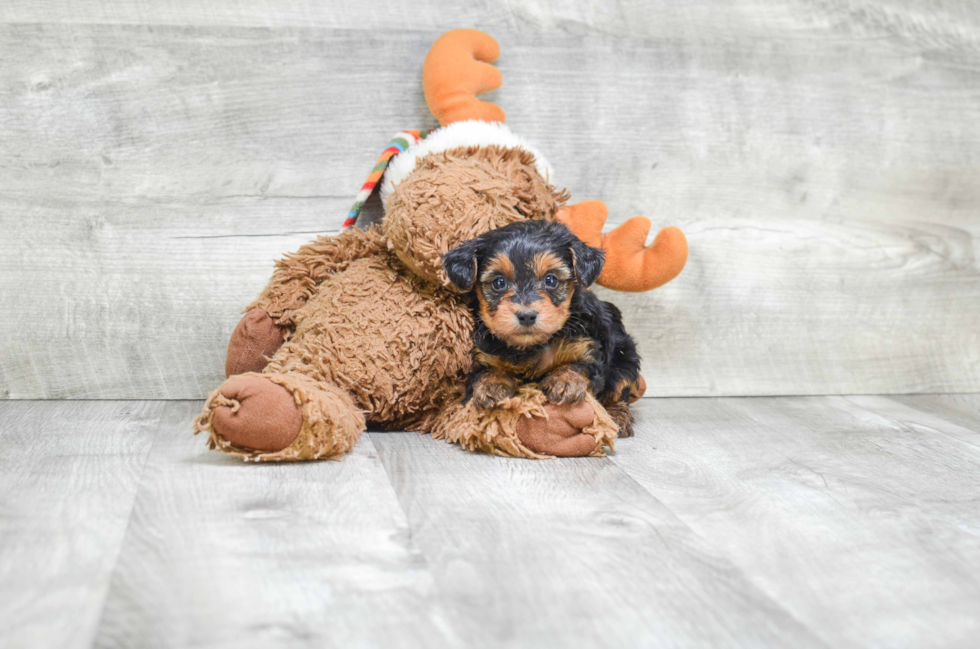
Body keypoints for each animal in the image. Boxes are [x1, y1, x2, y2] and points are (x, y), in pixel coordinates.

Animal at [442, 218, 644, 436]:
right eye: (499, 282)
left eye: (551, 280)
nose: (526, 315)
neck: (531, 345)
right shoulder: (484, 355)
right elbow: (483, 373)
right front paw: (491, 385)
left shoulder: (588, 349)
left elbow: (579, 366)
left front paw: (565, 381)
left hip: (625, 355)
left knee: (619, 388)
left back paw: (618, 417)